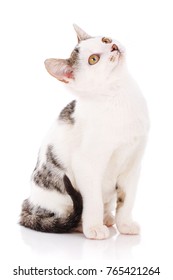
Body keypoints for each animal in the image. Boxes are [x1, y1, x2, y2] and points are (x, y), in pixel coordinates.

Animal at [19, 24, 149, 240]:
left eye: (105, 40)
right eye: (93, 59)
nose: (113, 46)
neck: (119, 96)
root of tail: (28, 202)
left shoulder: (134, 162)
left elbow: (127, 199)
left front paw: (125, 224)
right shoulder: (86, 163)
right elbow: (93, 200)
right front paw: (94, 228)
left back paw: (107, 218)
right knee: (63, 214)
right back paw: (81, 224)